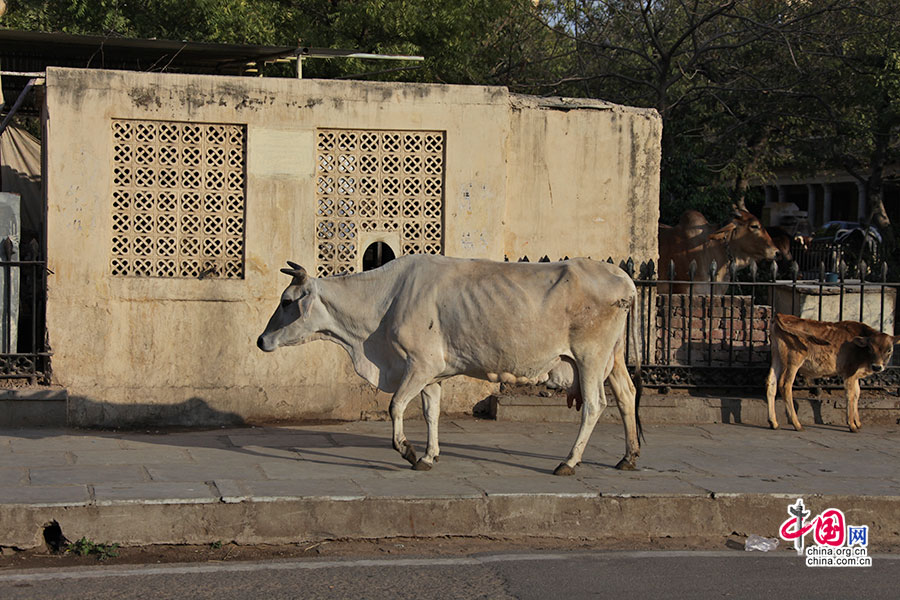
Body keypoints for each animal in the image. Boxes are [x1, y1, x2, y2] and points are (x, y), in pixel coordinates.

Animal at [256, 253, 644, 474]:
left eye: (287, 301)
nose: (261, 341)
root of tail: (622, 277)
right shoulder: (432, 374)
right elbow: (431, 413)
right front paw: (430, 455)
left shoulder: (418, 365)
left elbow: (396, 406)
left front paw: (408, 452)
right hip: (612, 358)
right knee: (627, 396)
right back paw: (628, 457)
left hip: (590, 357)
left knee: (594, 405)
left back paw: (569, 462)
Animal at [768, 314, 900, 432]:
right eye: (871, 348)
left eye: (889, 350)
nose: (877, 366)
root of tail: (782, 316)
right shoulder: (849, 372)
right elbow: (850, 395)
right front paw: (852, 425)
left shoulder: (855, 375)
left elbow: (857, 393)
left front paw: (858, 423)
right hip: (793, 360)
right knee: (785, 385)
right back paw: (797, 424)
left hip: (777, 357)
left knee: (771, 383)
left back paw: (773, 422)